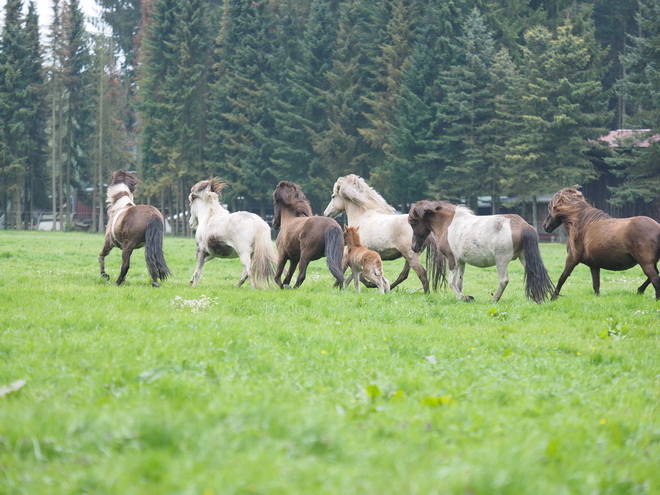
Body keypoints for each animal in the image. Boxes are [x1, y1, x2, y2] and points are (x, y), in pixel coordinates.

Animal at [410, 201, 556, 302]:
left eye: (412, 222)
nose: (414, 247)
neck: (449, 223)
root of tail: (523, 224)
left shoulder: (453, 259)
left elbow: (451, 282)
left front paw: (464, 297)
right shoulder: (461, 262)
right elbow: (459, 282)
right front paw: (462, 297)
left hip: (501, 260)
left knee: (504, 280)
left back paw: (494, 299)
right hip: (524, 258)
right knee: (535, 274)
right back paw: (538, 298)